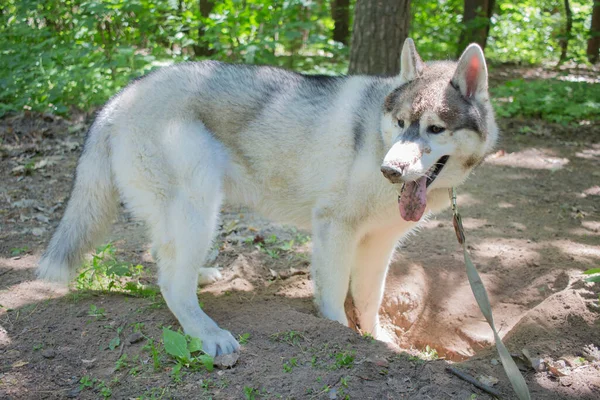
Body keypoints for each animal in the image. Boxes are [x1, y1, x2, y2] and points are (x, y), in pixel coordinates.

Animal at [37, 38, 496, 356]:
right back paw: (207, 332)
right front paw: (339, 335)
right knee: (170, 283)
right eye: (400, 123)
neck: (373, 138)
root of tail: (118, 99)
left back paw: (200, 276)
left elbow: (369, 301)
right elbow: (334, 298)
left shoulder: (378, 244)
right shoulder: (334, 230)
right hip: (199, 209)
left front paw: (376, 340)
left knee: (163, 260)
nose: (391, 170)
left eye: (435, 129)